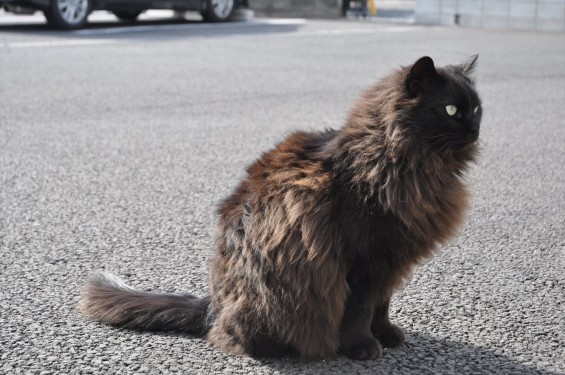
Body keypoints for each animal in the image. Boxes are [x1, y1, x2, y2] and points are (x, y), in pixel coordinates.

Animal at [79, 55, 480, 362]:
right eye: (450, 110)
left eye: (476, 108)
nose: (475, 128)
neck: (414, 166)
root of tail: (212, 306)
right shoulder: (364, 259)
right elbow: (360, 309)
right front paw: (363, 346)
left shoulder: (392, 260)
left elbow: (381, 305)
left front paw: (387, 334)